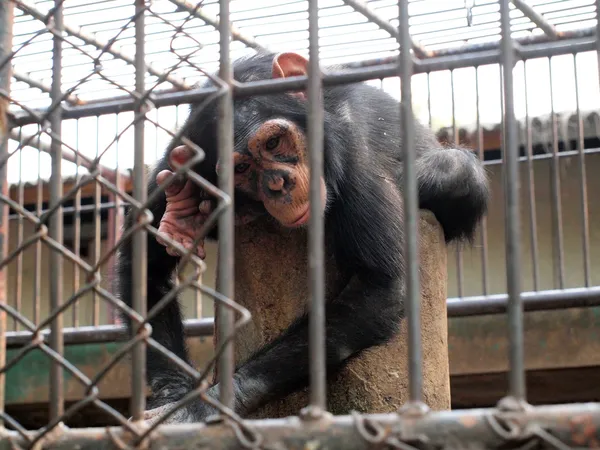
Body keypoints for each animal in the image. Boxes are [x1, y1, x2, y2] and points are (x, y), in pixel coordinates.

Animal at [115, 51, 490, 424]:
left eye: (273, 142)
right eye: (241, 169)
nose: (278, 183)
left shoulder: (353, 154)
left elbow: (378, 286)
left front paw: (204, 405)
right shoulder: (176, 162)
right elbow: (145, 267)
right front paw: (176, 391)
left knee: (454, 168)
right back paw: (187, 215)